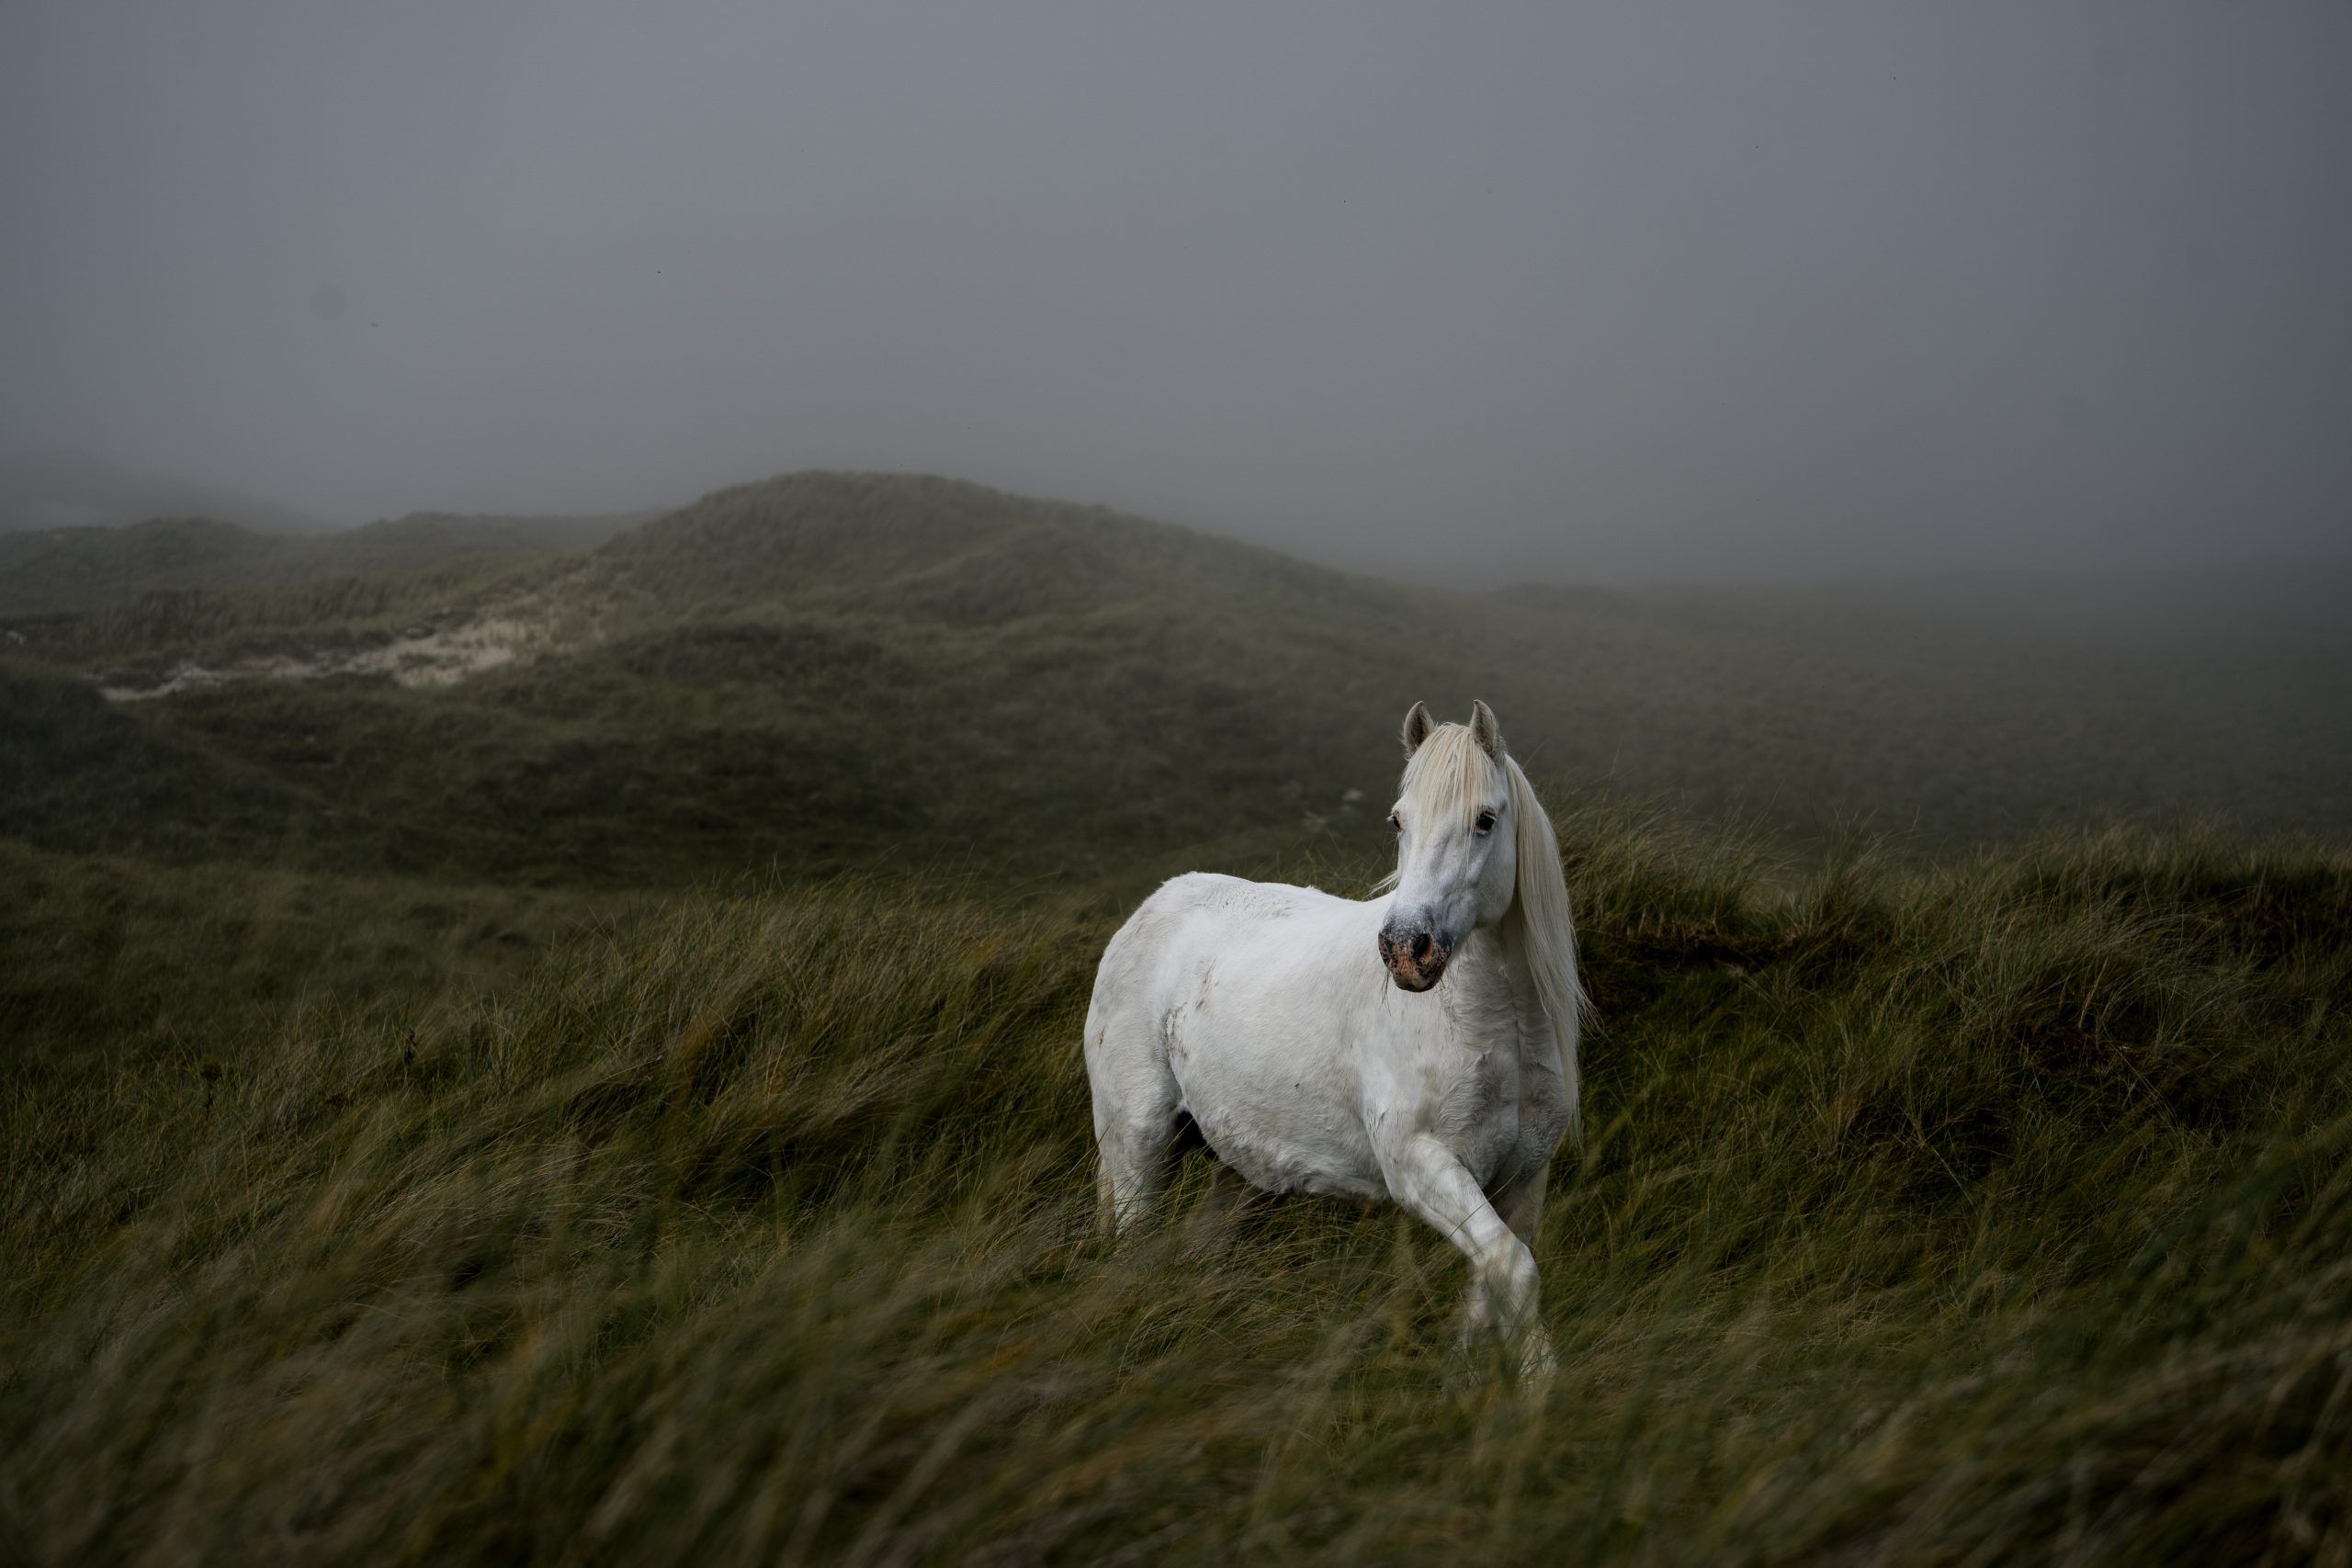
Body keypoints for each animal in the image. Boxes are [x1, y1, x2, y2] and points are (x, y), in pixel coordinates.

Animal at [1083, 699, 1586, 1374]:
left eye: (1485, 820)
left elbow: (1494, 1286)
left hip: (1236, 1172)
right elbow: (1514, 1271)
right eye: (1398, 820)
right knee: (1131, 1245)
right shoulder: (1422, 1167)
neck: (1488, 1026)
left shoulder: (1521, 1182)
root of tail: (1144, 914)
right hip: (1136, 1147)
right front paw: (1538, 1393)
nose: (1405, 949)